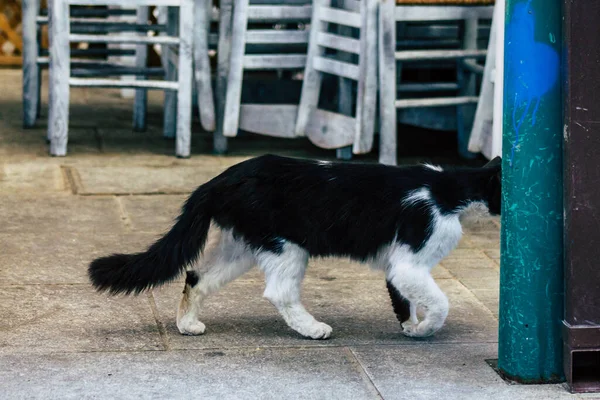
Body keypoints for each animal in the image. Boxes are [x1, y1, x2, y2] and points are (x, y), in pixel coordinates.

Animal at [89, 155, 502, 340]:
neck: (452, 190)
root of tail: (219, 179)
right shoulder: (410, 262)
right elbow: (440, 302)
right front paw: (425, 329)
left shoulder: (399, 264)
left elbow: (405, 298)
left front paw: (410, 326)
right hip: (286, 246)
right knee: (280, 292)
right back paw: (312, 328)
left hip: (242, 246)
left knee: (196, 277)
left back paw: (187, 324)